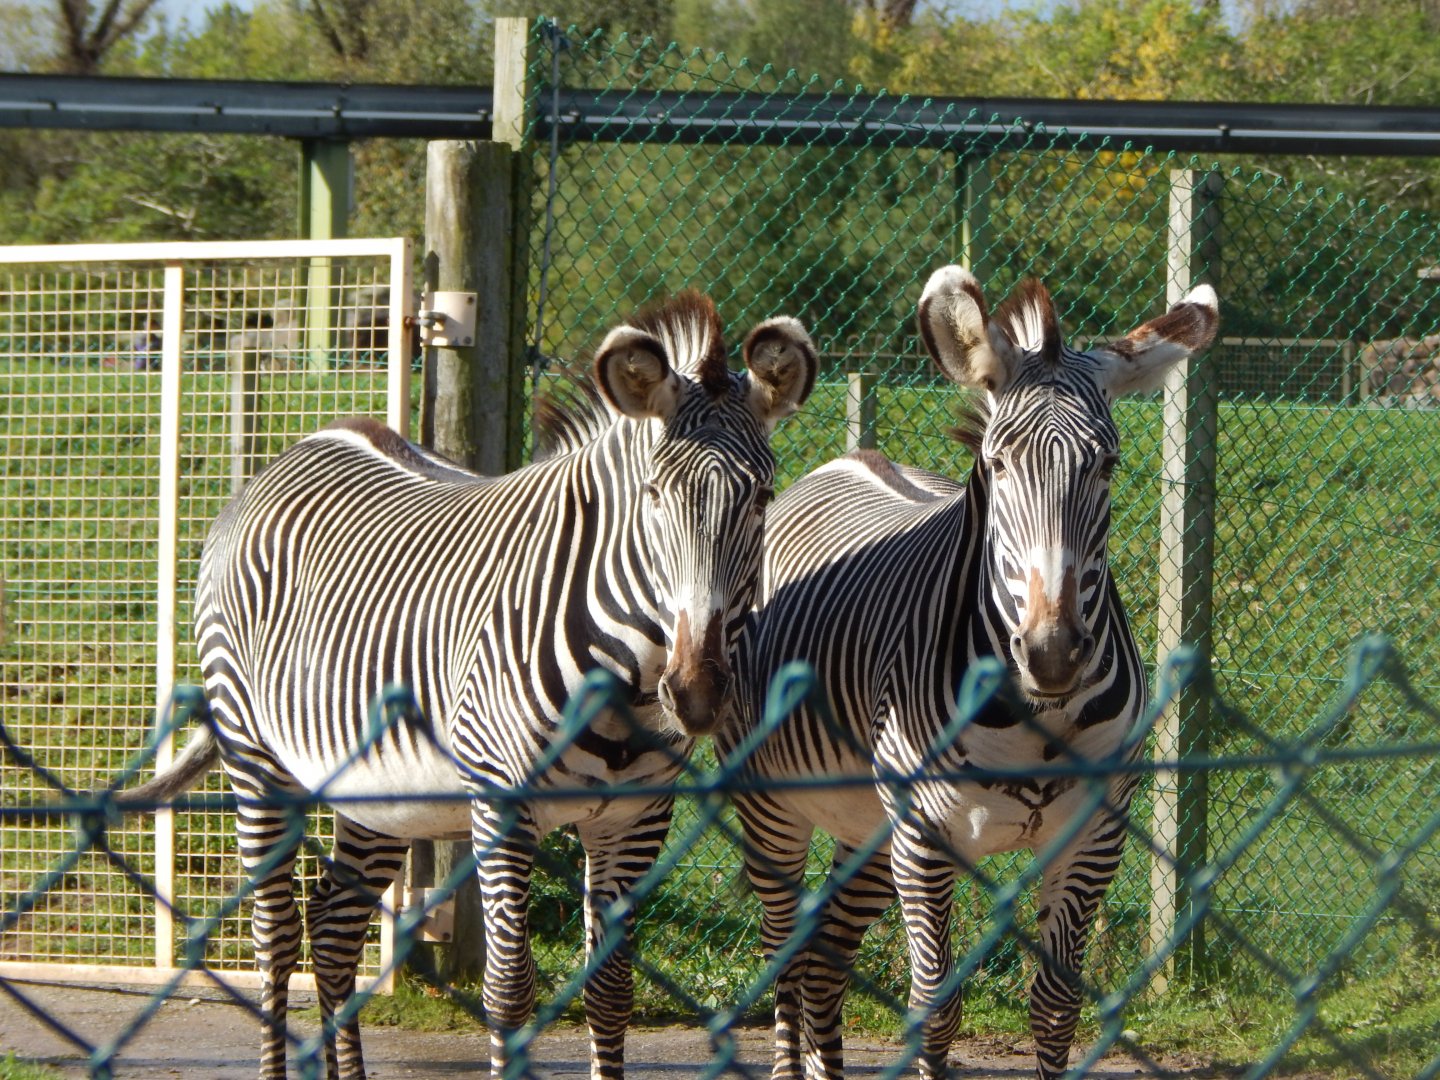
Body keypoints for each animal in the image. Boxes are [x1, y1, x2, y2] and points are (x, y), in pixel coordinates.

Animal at [119, 291, 818, 1080]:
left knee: (333, 926)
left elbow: (611, 989)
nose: (696, 691)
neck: (627, 678)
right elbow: (509, 990)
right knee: (277, 932)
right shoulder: (501, 804)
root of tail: (304, 445)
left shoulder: (635, 817)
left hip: (378, 787)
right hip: (253, 754)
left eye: (762, 498)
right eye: (654, 496)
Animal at [721, 265, 1217, 1080]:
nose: (1052, 652)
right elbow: (936, 1005)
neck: (1040, 718)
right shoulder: (924, 836)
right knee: (785, 961)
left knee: (823, 961)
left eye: (1107, 465)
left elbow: (1056, 1005)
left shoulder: (1094, 835)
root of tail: (846, 460)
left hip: (866, 823)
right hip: (774, 807)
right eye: (999, 462)